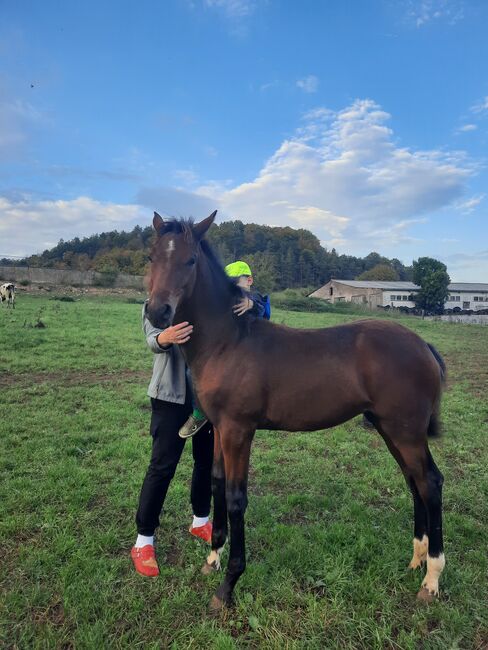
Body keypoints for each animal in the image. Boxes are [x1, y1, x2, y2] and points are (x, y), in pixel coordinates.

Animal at [145, 211, 446, 608]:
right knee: (414, 482)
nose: (157, 312)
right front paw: (212, 559)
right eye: (151, 257)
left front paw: (228, 585)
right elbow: (217, 484)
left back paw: (432, 578)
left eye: (190, 260)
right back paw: (417, 558)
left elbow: (236, 497)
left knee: (430, 482)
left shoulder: (239, 430)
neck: (228, 342)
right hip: (390, 428)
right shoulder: (221, 428)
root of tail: (423, 345)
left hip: (405, 431)